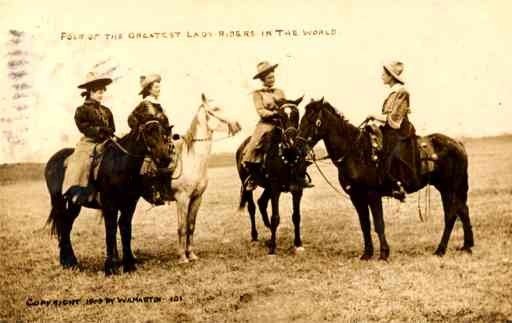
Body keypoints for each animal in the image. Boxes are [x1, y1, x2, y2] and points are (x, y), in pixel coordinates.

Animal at [44, 119, 170, 276]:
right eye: (148, 133)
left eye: (163, 134)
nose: (165, 158)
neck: (120, 164)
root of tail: (52, 160)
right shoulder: (110, 205)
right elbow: (110, 231)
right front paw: (110, 267)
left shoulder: (129, 205)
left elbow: (125, 229)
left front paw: (129, 265)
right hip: (59, 201)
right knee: (63, 226)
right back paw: (68, 262)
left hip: (74, 204)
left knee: (66, 226)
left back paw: (70, 262)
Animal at [141, 94, 241, 266]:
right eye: (215, 109)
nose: (237, 125)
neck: (192, 159)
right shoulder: (181, 198)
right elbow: (181, 227)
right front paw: (182, 257)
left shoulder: (197, 198)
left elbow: (191, 226)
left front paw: (191, 254)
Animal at [235, 96, 310, 256]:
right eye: (281, 117)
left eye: (296, 115)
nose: (291, 139)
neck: (288, 156)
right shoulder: (275, 188)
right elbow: (275, 217)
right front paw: (272, 249)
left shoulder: (297, 189)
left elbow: (296, 216)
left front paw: (298, 243)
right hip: (248, 185)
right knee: (252, 207)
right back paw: (255, 236)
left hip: (267, 187)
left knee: (261, 203)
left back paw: (269, 233)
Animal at [298, 98, 474, 260]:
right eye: (302, 118)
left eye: (311, 119)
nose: (298, 147)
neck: (356, 152)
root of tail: (458, 143)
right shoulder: (356, 197)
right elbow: (365, 225)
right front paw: (367, 254)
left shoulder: (373, 194)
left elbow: (378, 224)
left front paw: (383, 253)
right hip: (449, 189)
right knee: (462, 210)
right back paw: (467, 246)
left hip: (449, 189)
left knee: (451, 215)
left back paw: (440, 250)